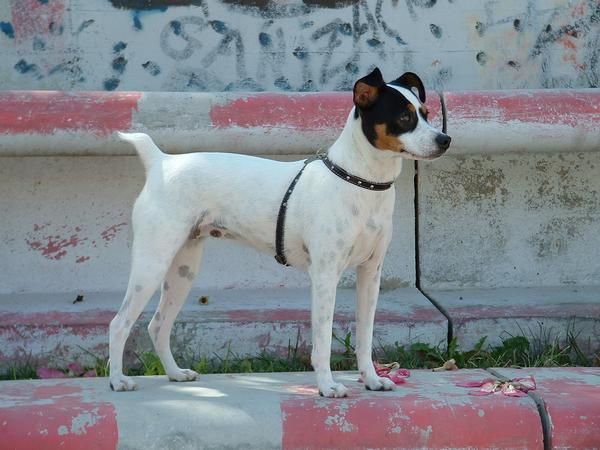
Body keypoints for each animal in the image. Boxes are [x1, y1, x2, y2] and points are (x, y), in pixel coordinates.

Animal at [109, 67, 450, 398]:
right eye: (404, 117)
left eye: (426, 112)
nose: (445, 139)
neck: (360, 182)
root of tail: (160, 162)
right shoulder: (325, 275)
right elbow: (323, 341)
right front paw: (327, 386)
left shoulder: (370, 273)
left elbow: (365, 337)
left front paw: (372, 380)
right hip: (152, 263)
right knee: (119, 323)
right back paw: (118, 381)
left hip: (183, 269)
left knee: (158, 325)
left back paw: (176, 374)